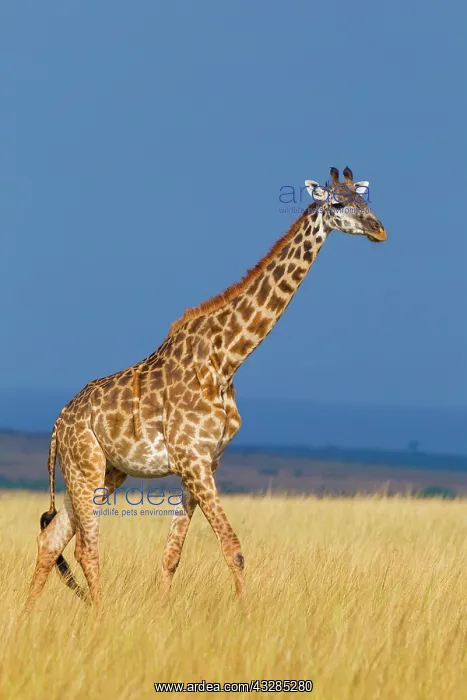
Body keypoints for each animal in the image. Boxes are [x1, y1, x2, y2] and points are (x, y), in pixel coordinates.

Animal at [24, 166, 387, 611]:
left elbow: (172, 554)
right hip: (85, 465)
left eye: (366, 201)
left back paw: (29, 615)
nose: (379, 230)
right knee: (84, 547)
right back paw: (100, 615)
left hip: (108, 471)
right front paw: (246, 616)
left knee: (51, 538)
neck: (226, 358)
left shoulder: (204, 463)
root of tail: (58, 425)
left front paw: (163, 612)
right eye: (337, 203)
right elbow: (233, 548)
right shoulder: (193, 459)